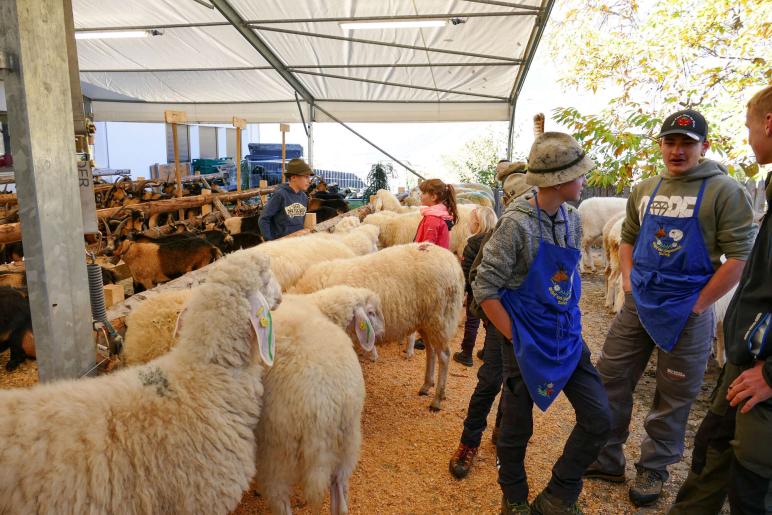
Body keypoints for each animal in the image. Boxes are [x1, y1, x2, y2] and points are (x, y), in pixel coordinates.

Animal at [292, 242, 464, 412]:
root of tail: (454, 263)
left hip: (440, 319)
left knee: (444, 356)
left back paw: (437, 399)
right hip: (426, 321)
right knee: (431, 350)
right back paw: (426, 385)